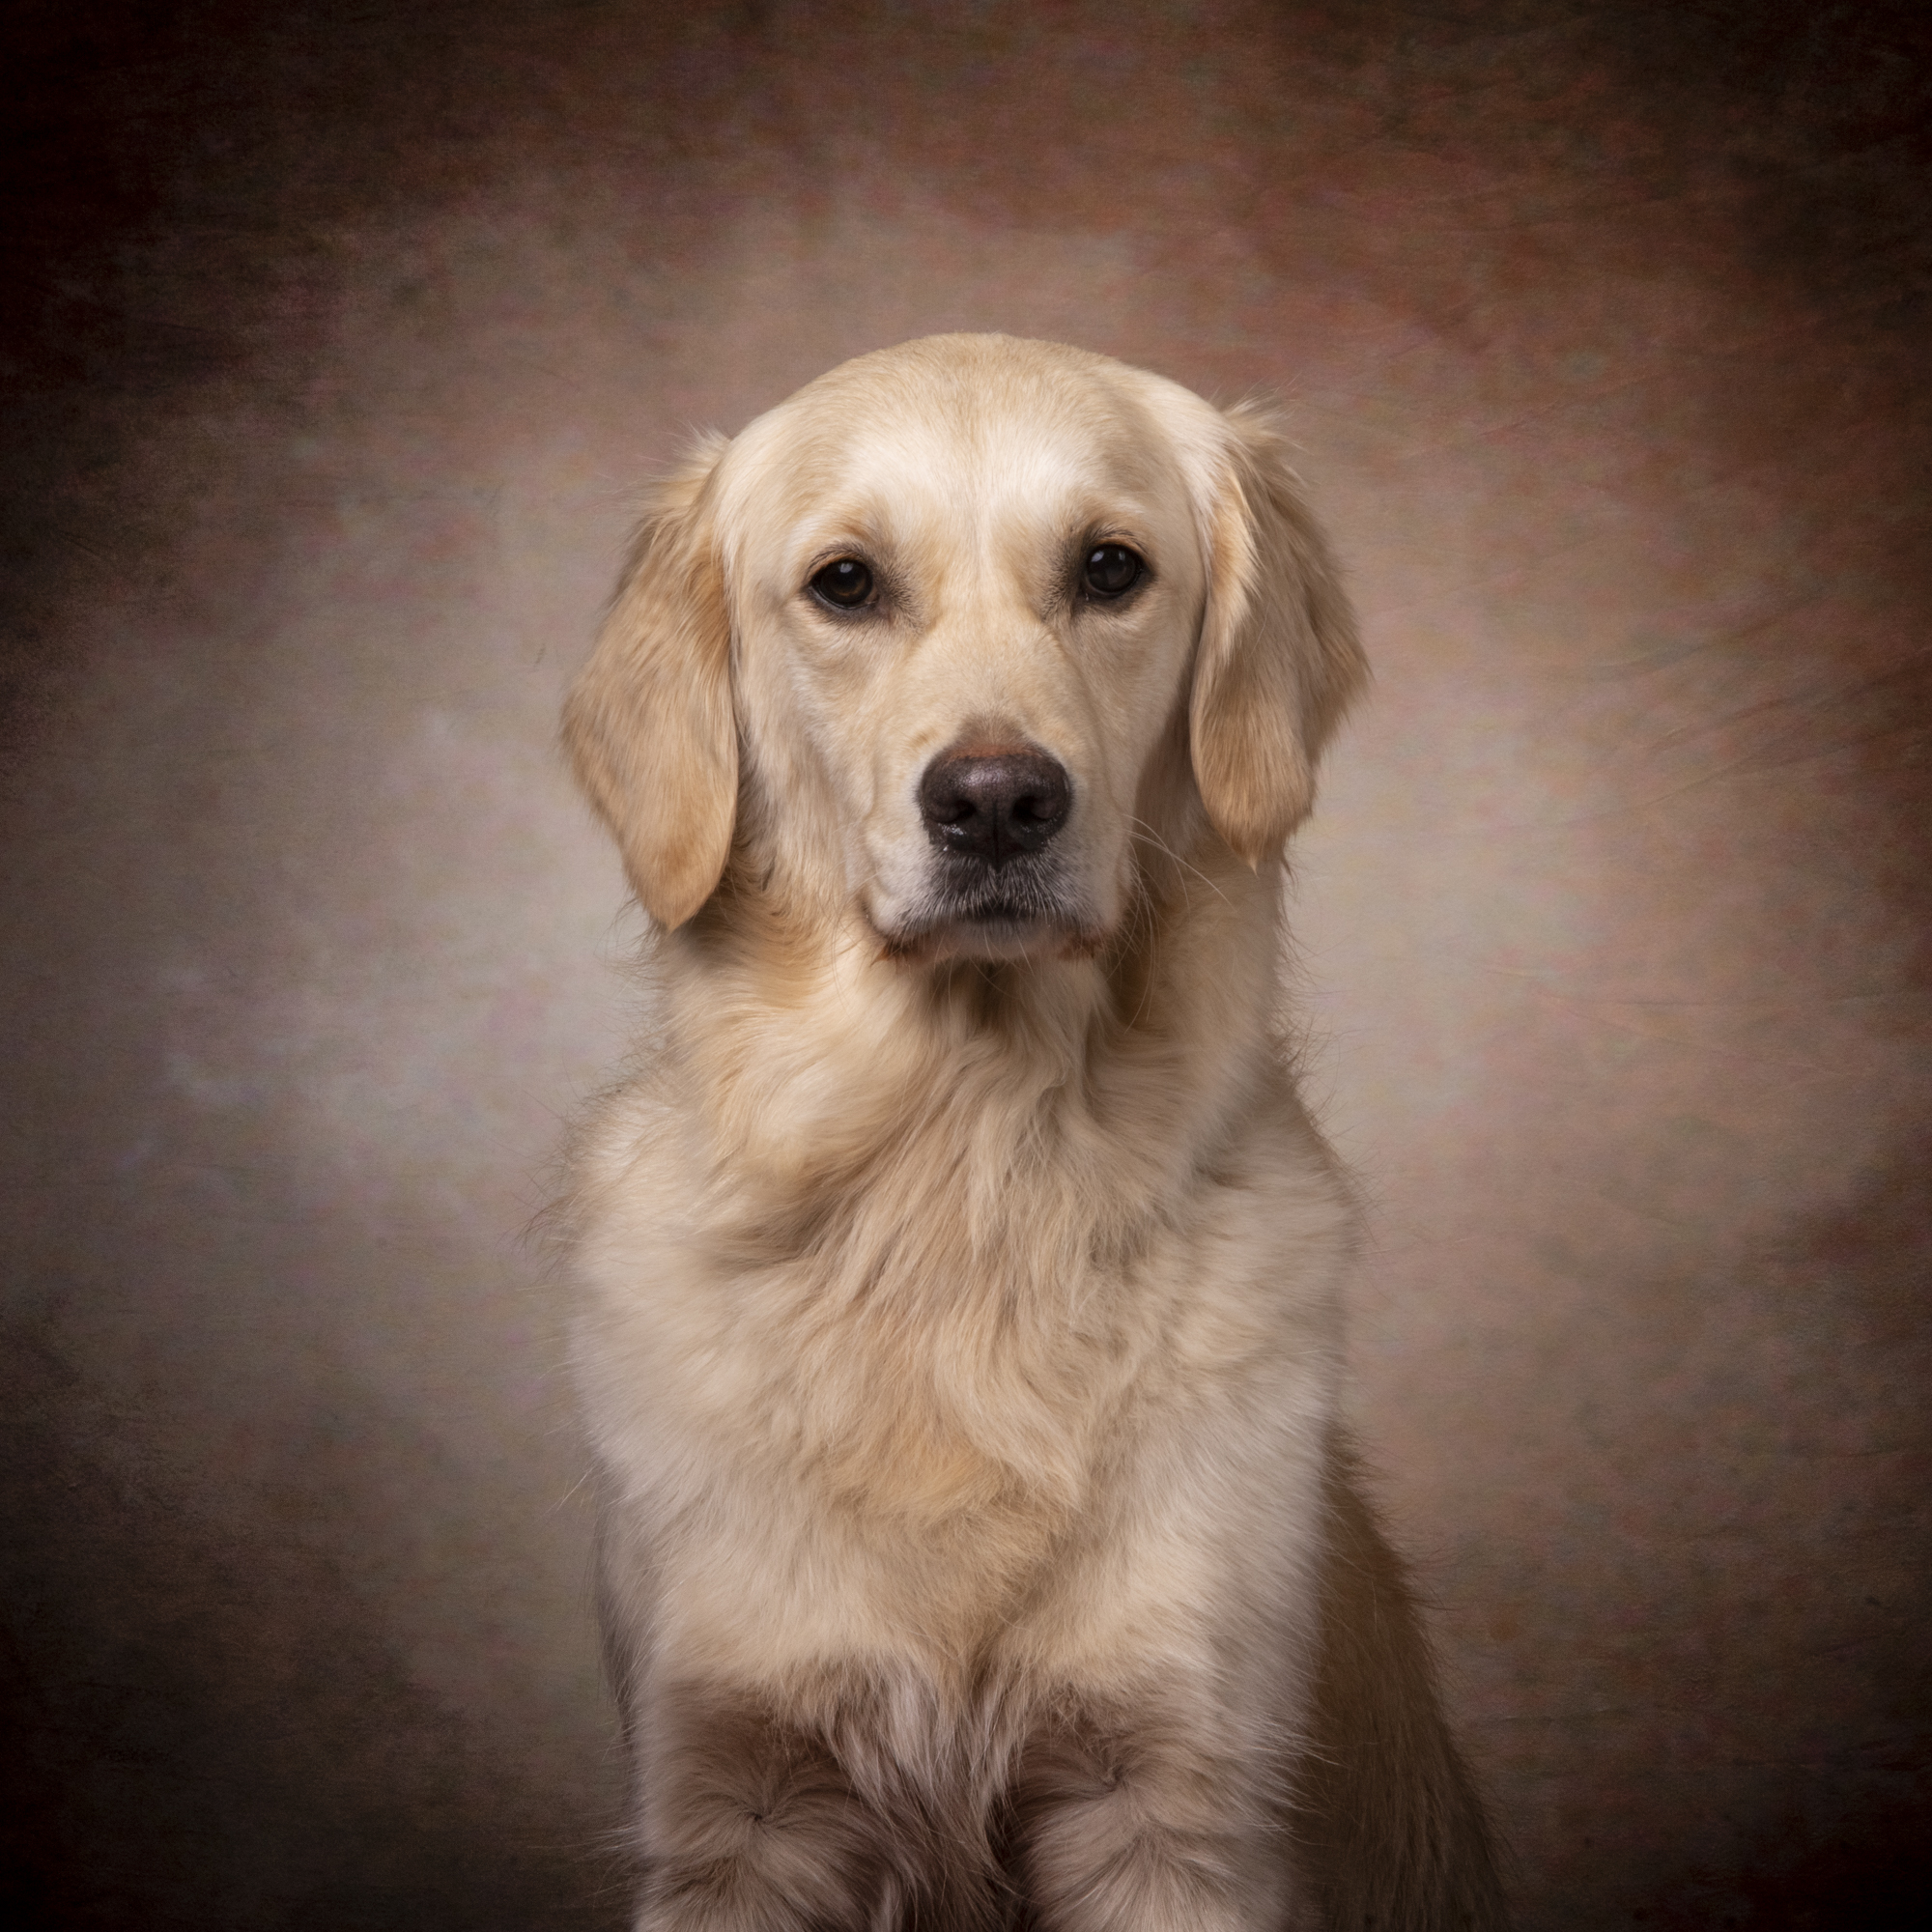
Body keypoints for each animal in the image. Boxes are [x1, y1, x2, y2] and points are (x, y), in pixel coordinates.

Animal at [553, 340, 1499, 1924]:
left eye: (1110, 568)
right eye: (847, 584)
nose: (996, 801)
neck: (968, 1175)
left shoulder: (1175, 1808)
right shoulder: (733, 1806)